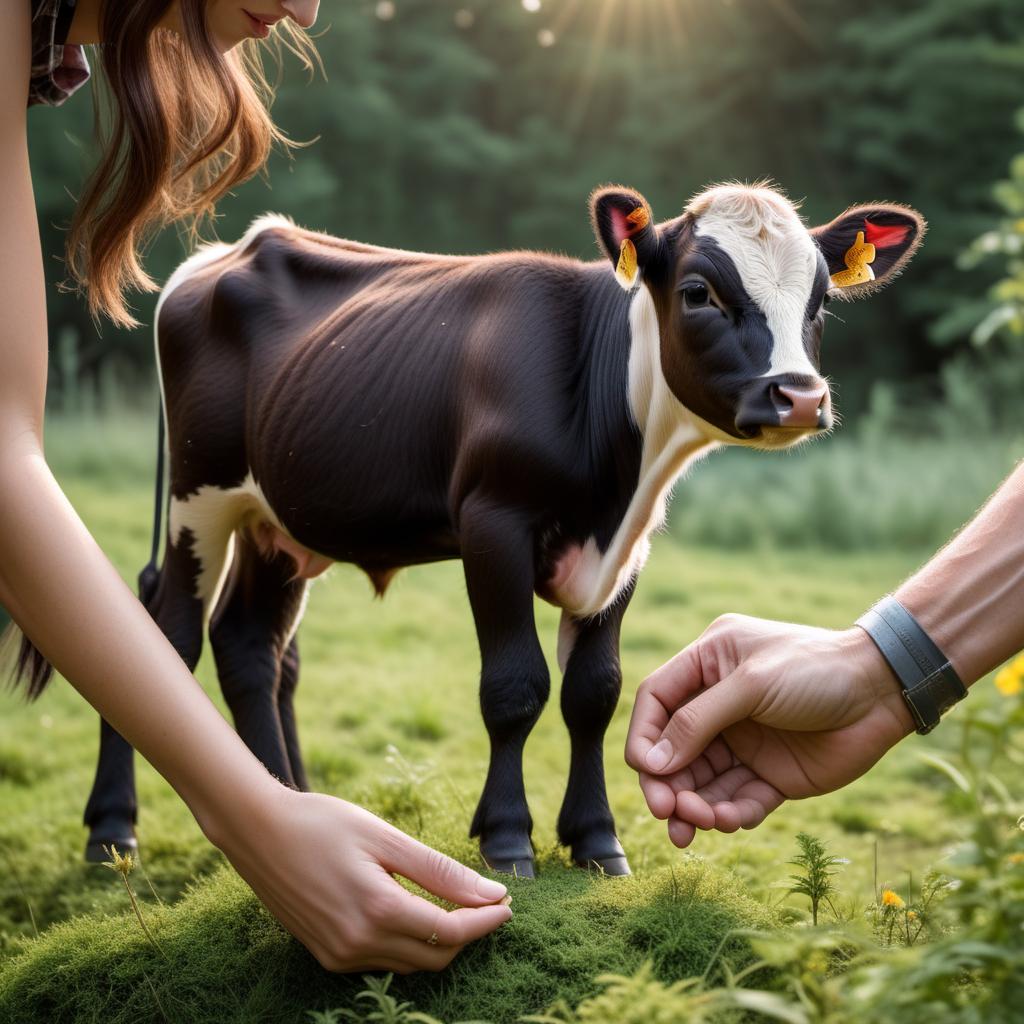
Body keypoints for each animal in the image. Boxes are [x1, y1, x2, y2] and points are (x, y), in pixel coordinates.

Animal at [79, 180, 925, 876]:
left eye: (819, 302)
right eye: (698, 292)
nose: (801, 396)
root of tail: (226, 253)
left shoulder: (627, 549)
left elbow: (593, 692)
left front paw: (596, 840)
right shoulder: (493, 522)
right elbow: (516, 686)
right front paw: (510, 838)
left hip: (277, 522)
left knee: (250, 645)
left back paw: (284, 804)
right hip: (200, 496)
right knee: (168, 630)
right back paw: (115, 829)